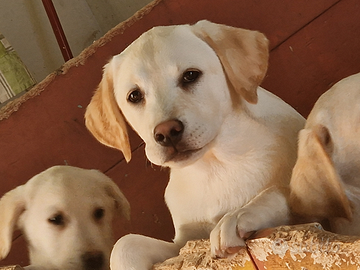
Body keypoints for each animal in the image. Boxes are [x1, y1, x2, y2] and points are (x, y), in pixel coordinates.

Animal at [85, 20, 306, 268]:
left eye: (190, 75)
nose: (167, 132)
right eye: (134, 96)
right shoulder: (183, 243)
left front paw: (238, 215)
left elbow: (278, 192)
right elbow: (125, 243)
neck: (214, 167)